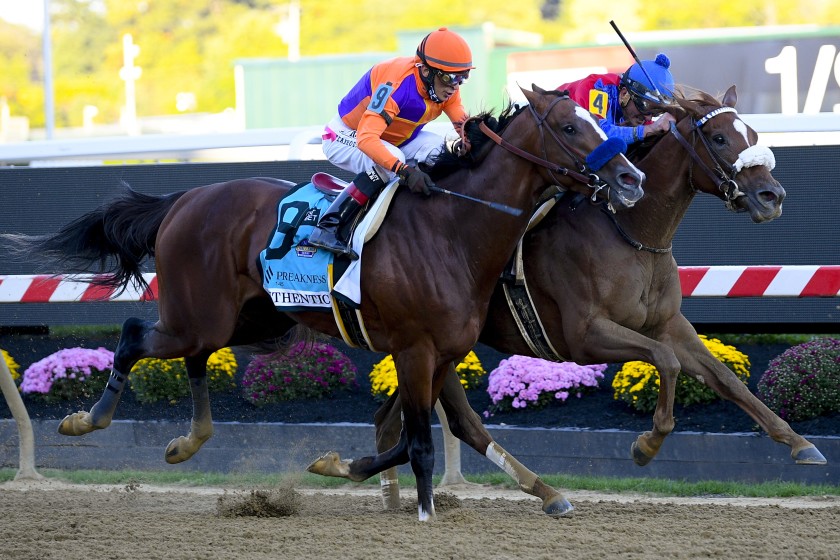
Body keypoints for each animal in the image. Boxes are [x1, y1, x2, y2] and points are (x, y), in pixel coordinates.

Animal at [4, 86, 644, 520]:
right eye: (571, 126)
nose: (630, 178)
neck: (454, 229)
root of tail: (184, 198)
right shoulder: (415, 349)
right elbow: (419, 439)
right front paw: (423, 511)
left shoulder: (442, 352)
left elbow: (425, 432)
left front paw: (342, 467)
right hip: (202, 314)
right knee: (138, 333)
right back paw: (89, 419)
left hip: (249, 319)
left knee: (194, 355)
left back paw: (187, 442)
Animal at [366, 84, 828, 512]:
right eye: (718, 138)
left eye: (752, 133)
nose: (772, 196)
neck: (632, 234)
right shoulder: (585, 336)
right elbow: (667, 361)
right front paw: (645, 446)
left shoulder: (667, 323)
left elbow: (724, 377)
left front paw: (799, 442)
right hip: (430, 341)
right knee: (437, 420)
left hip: (438, 346)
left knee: (395, 420)